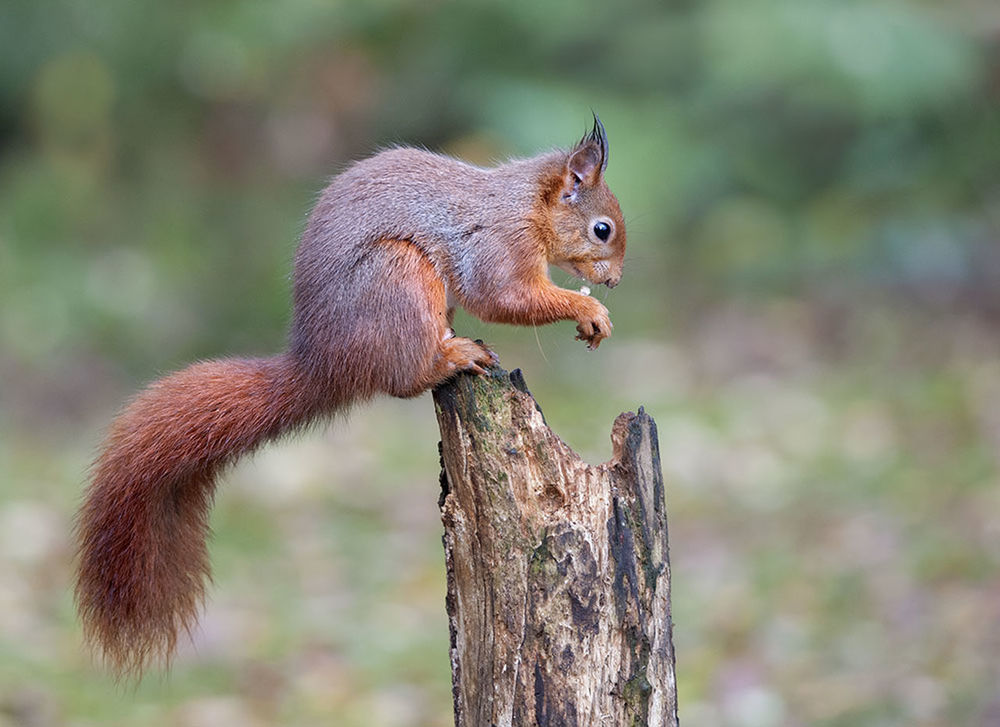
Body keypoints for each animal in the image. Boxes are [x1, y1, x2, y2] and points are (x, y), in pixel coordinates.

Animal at [76, 114, 624, 676]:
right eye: (601, 228)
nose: (615, 281)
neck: (525, 204)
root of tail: (324, 365)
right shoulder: (497, 245)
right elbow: (505, 296)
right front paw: (587, 311)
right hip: (398, 277)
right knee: (405, 379)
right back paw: (453, 356)